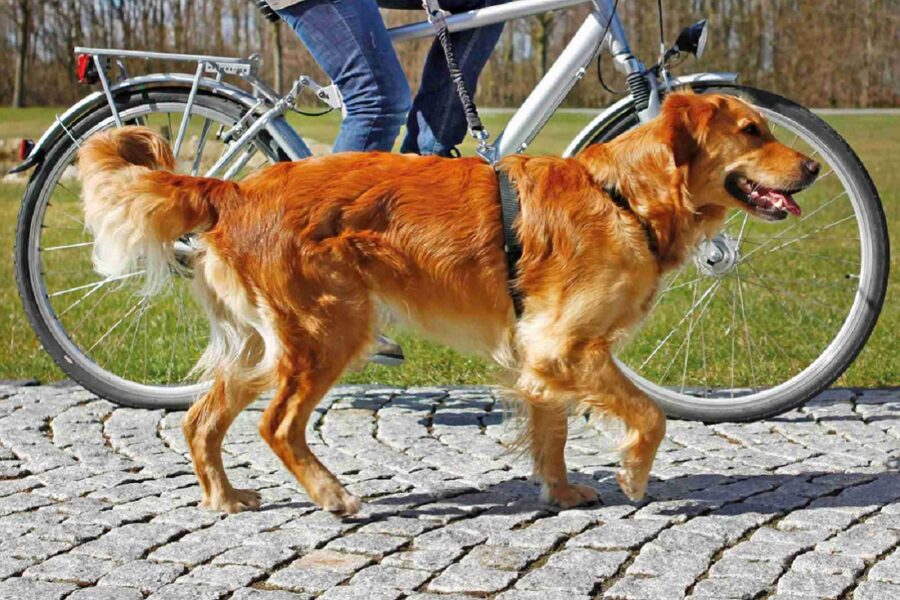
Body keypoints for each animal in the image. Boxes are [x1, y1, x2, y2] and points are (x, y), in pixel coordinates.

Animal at [81, 94, 820, 516]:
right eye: (752, 131)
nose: (814, 167)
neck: (625, 197)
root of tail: (236, 188)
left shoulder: (542, 355)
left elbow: (551, 431)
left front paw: (561, 491)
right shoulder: (568, 345)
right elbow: (651, 415)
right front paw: (635, 476)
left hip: (264, 346)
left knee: (201, 419)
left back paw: (224, 498)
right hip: (327, 333)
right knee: (278, 427)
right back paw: (332, 496)